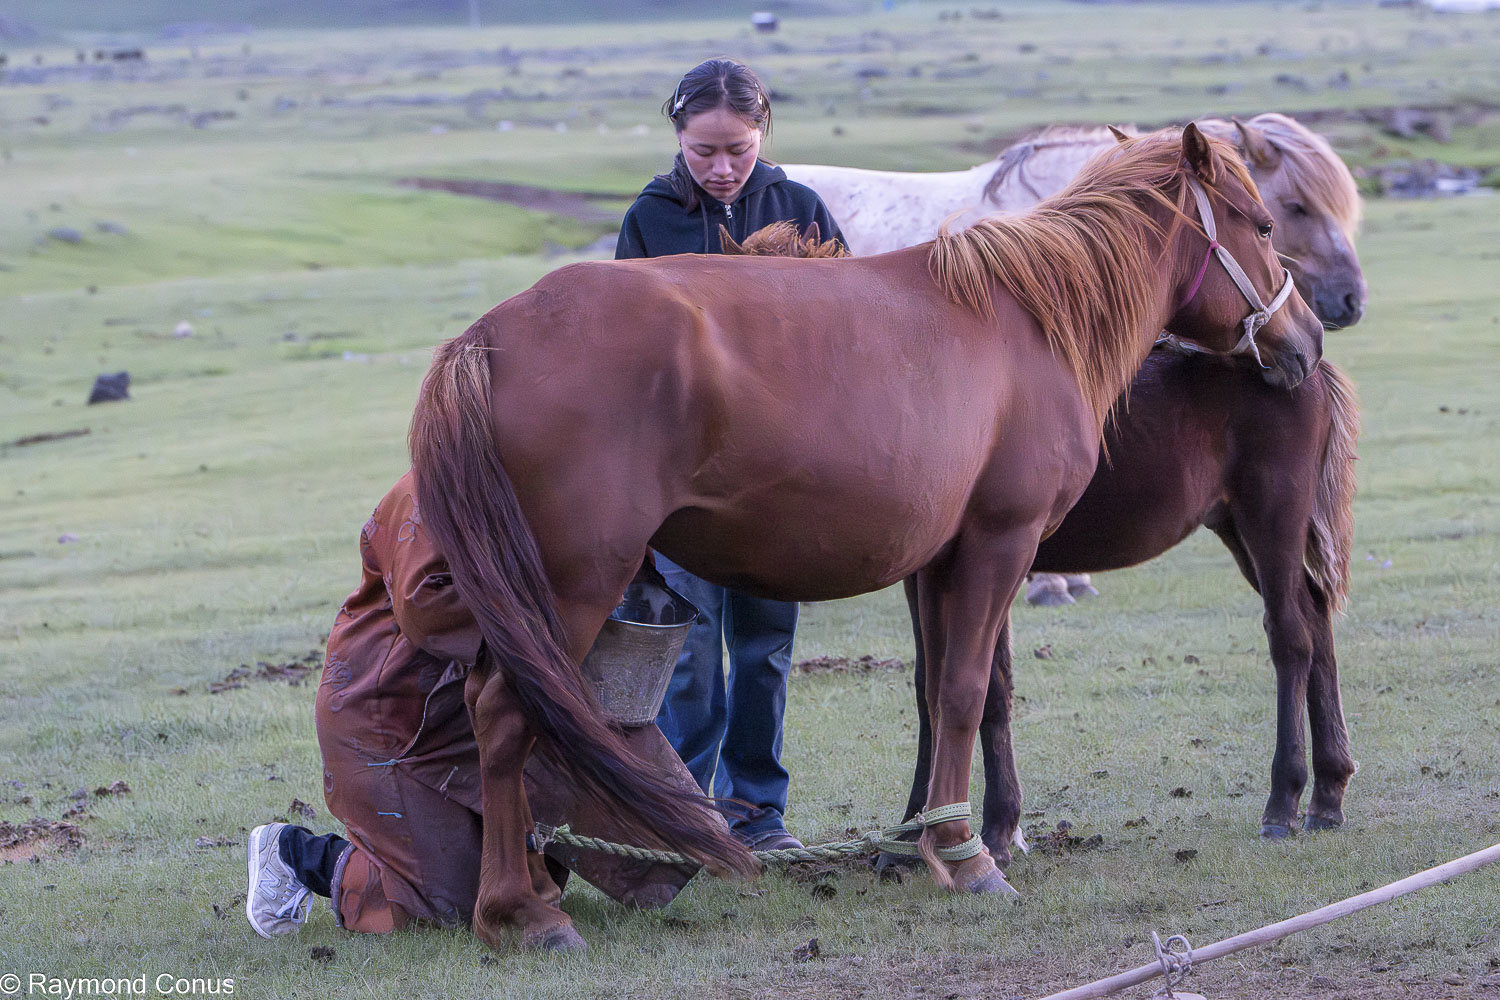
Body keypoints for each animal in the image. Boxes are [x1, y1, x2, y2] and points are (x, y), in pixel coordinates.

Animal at [408, 125, 1324, 951]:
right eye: (1264, 224)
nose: (1309, 338)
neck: (1030, 319)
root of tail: (489, 336)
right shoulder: (1000, 545)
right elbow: (964, 692)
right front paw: (968, 855)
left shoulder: (942, 563)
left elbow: (939, 694)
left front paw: (919, 844)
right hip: (570, 589)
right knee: (506, 716)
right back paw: (524, 912)